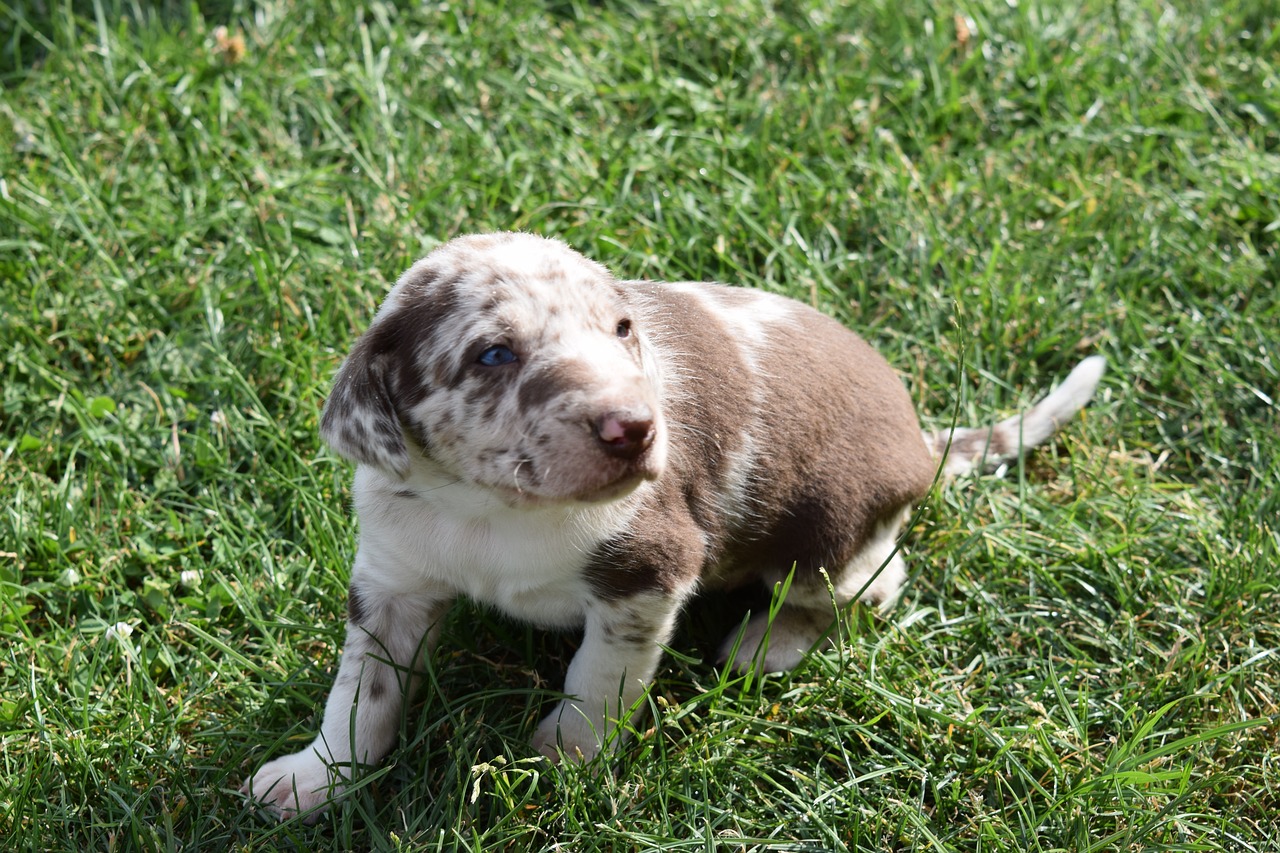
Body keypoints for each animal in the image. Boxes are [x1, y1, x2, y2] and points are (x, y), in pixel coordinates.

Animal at [244, 230, 1105, 819]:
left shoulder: (646, 572)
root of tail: (921, 444)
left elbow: (597, 678)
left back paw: (767, 640)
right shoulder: (389, 582)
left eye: (623, 330)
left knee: (876, 579)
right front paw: (317, 775)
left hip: (824, 538)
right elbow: (361, 692)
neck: (491, 510)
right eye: (494, 354)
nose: (635, 427)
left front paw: (568, 756)